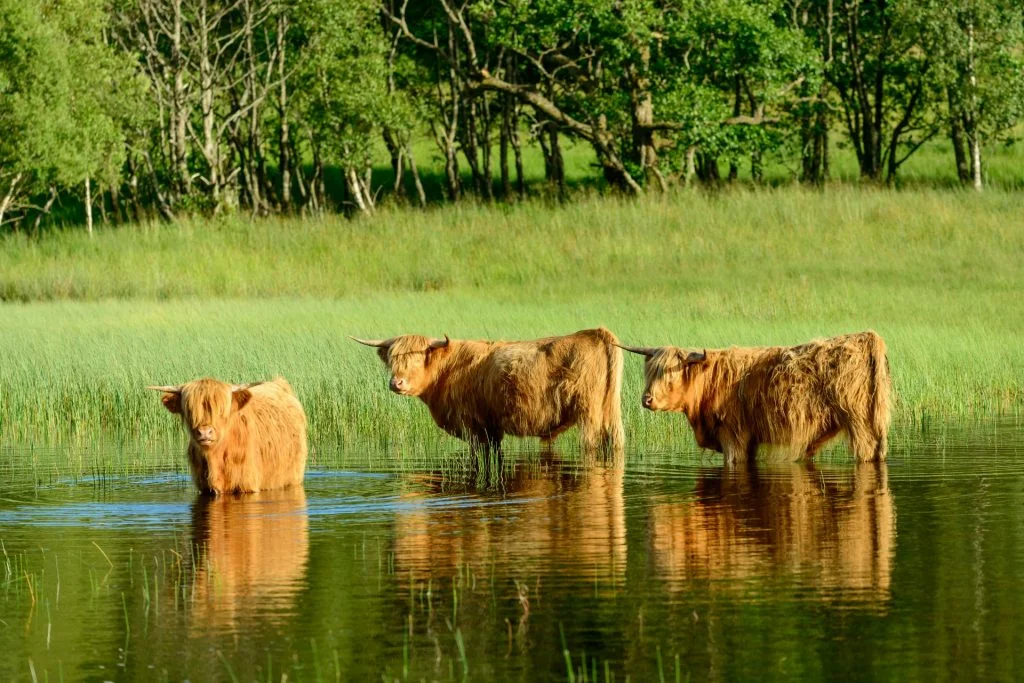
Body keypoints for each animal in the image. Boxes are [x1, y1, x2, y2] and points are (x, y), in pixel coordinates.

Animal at [351, 328, 624, 453]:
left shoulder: (474, 428)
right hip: (611, 416)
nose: (396, 383)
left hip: (589, 416)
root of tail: (596, 333)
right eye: (393, 360)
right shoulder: (492, 431)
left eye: (417, 359)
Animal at [620, 331, 891, 462]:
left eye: (670, 375)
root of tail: (868, 336)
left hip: (859, 423)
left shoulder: (732, 435)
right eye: (649, 373)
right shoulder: (749, 440)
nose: (646, 399)